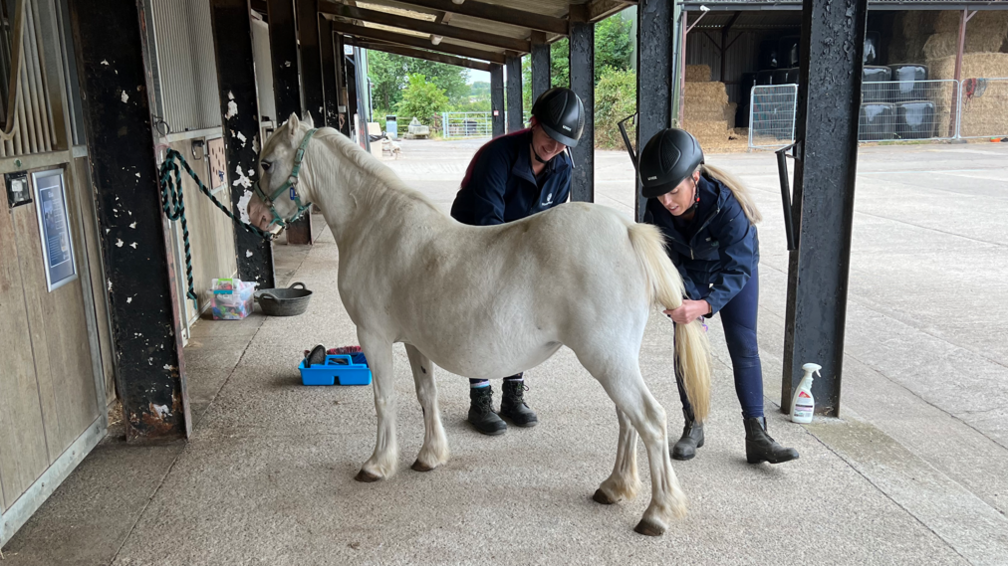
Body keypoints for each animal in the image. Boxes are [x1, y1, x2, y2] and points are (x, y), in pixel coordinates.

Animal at [247, 114, 713, 531]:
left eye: (267, 162)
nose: (253, 215)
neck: (376, 224)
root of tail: (628, 231)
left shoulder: (374, 337)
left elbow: (384, 400)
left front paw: (377, 465)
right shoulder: (413, 342)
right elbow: (426, 394)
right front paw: (430, 457)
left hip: (607, 358)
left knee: (649, 420)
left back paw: (656, 514)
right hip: (615, 360)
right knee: (627, 418)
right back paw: (615, 487)